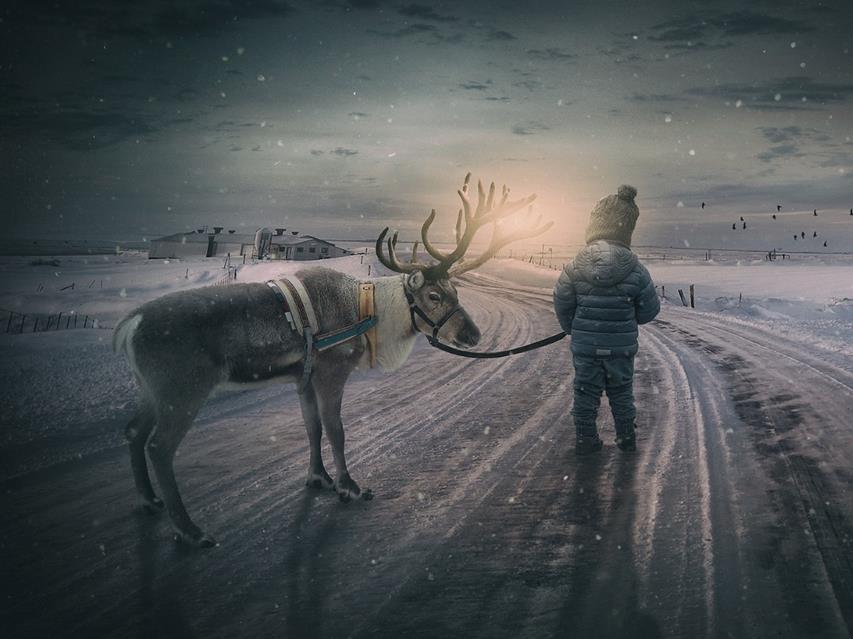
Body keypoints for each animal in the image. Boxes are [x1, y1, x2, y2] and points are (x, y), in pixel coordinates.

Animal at [113, 173, 552, 547]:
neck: (368, 311)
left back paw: (149, 501)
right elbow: (337, 429)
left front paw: (318, 477)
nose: (473, 335)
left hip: (152, 390)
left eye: (456, 290)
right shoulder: (331, 371)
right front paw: (349, 486)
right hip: (182, 389)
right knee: (159, 447)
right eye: (434, 295)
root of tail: (129, 325)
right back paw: (190, 530)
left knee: (133, 431)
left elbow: (312, 428)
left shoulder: (303, 378)